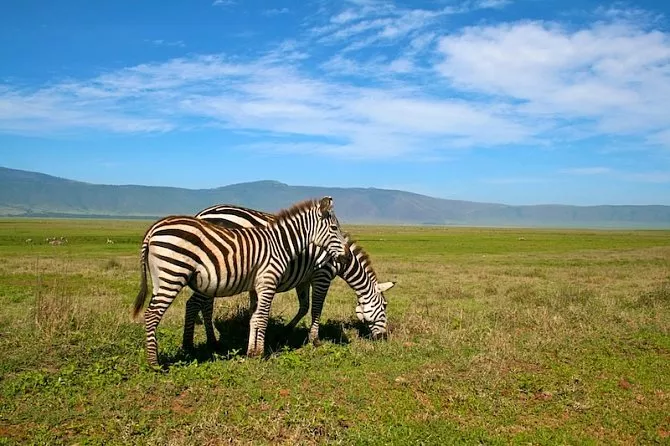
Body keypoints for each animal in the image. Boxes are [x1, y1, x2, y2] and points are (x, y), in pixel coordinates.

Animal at [133, 196, 350, 366]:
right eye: (334, 228)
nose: (347, 257)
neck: (280, 244)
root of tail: (153, 229)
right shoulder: (268, 282)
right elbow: (262, 318)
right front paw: (260, 353)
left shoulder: (256, 287)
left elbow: (254, 318)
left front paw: (251, 352)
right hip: (173, 275)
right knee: (153, 314)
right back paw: (155, 363)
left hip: (162, 279)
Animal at [184, 202, 394, 348]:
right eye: (384, 306)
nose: (384, 338)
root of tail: (202, 213)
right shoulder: (322, 275)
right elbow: (316, 308)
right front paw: (314, 339)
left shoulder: (304, 279)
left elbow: (304, 306)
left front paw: (285, 331)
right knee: (197, 304)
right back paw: (203, 343)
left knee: (206, 304)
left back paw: (212, 339)